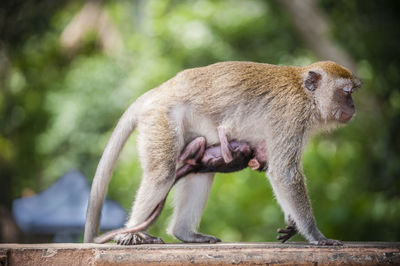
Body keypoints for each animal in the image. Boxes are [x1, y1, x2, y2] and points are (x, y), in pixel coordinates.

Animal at [84, 60, 362, 245]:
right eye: (346, 92)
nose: (353, 107)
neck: (305, 94)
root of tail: (160, 90)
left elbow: (279, 170)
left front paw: (292, 224)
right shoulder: (291, 117)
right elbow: (284, 173)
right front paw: (316, 235)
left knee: (200, 174)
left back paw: (185, 234)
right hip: (161, 118)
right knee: (162, 173)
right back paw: (130, 235)